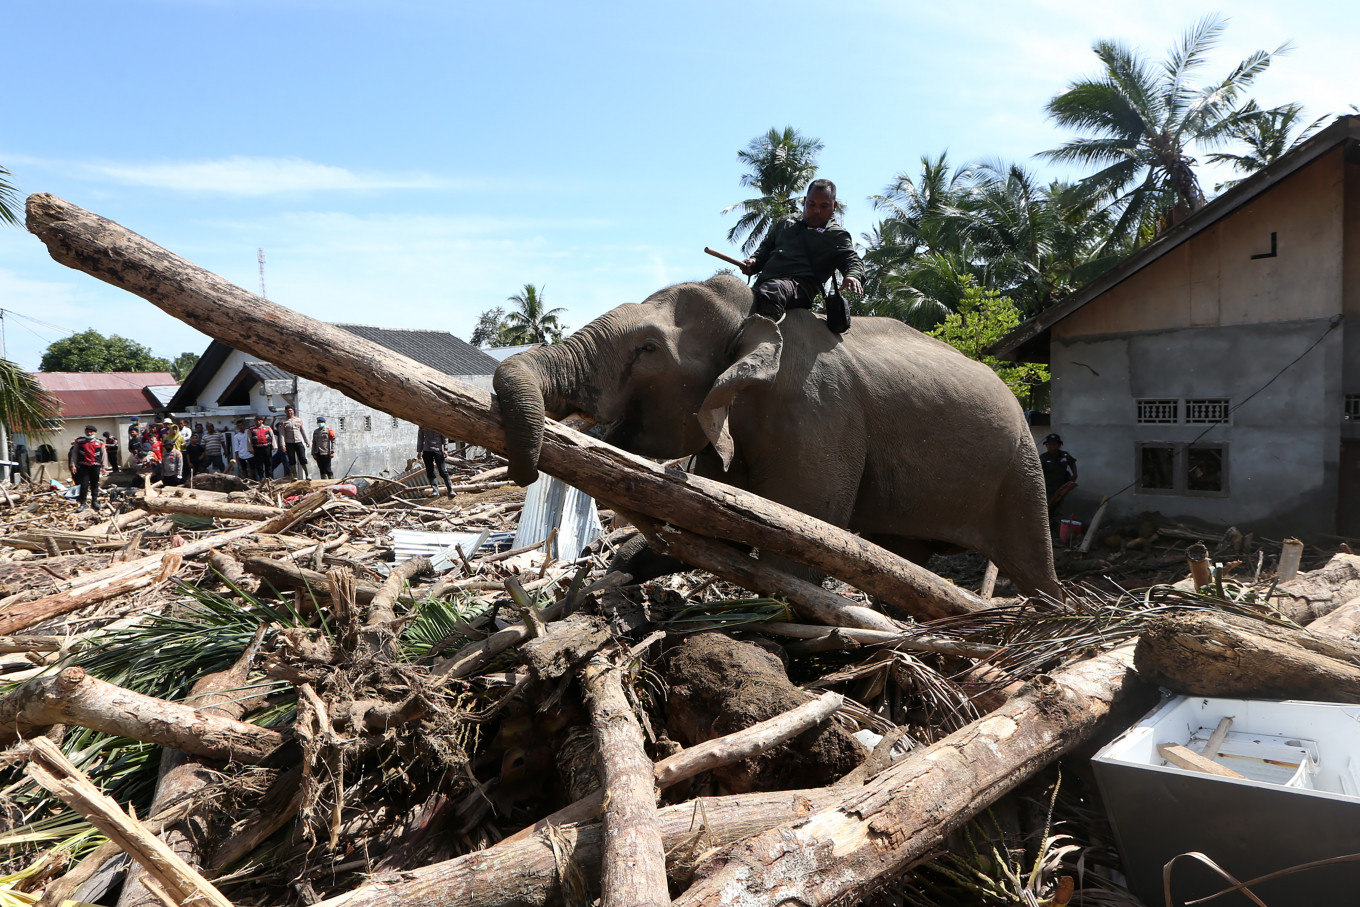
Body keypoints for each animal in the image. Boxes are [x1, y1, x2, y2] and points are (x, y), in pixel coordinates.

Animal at [492, 274, 1061, 599]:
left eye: (648, 349)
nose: (522, 470)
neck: (757, 318)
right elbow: (717, 524)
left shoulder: (818, 416)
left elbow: (799, 538)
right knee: (906, 560)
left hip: (1022, 468)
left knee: (1033, 564)